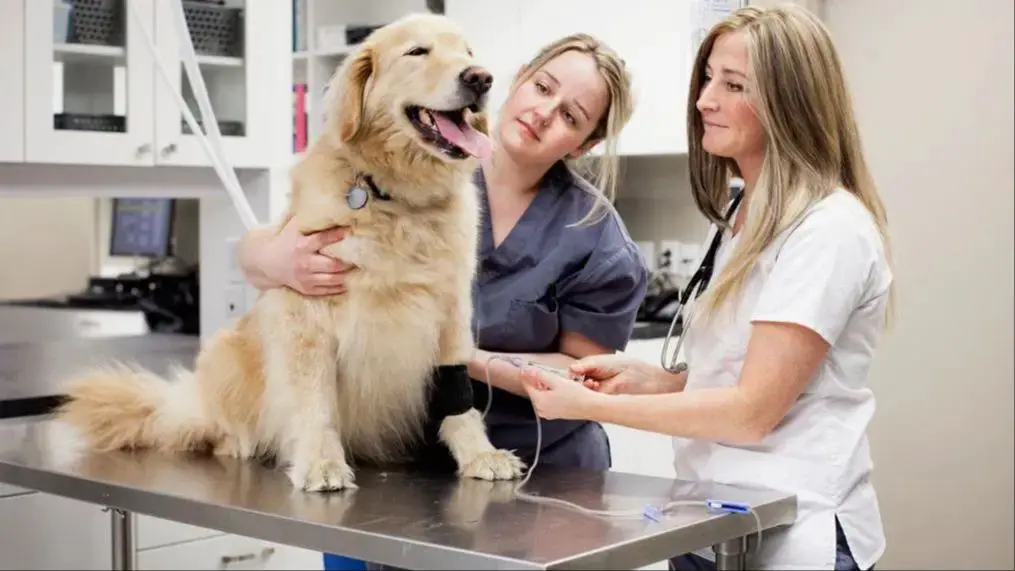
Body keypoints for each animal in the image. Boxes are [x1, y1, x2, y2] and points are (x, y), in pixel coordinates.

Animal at [55, 14, 527, 496]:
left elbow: (458, 397)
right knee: (216, 426)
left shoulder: (450, 312)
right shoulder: (307, 315)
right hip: (224, 352)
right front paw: (321, 462)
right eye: (417, 52)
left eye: (467, 53)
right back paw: (237, 442)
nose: (481, 78)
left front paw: (479, 453)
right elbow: (314, 400)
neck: (394, 198)